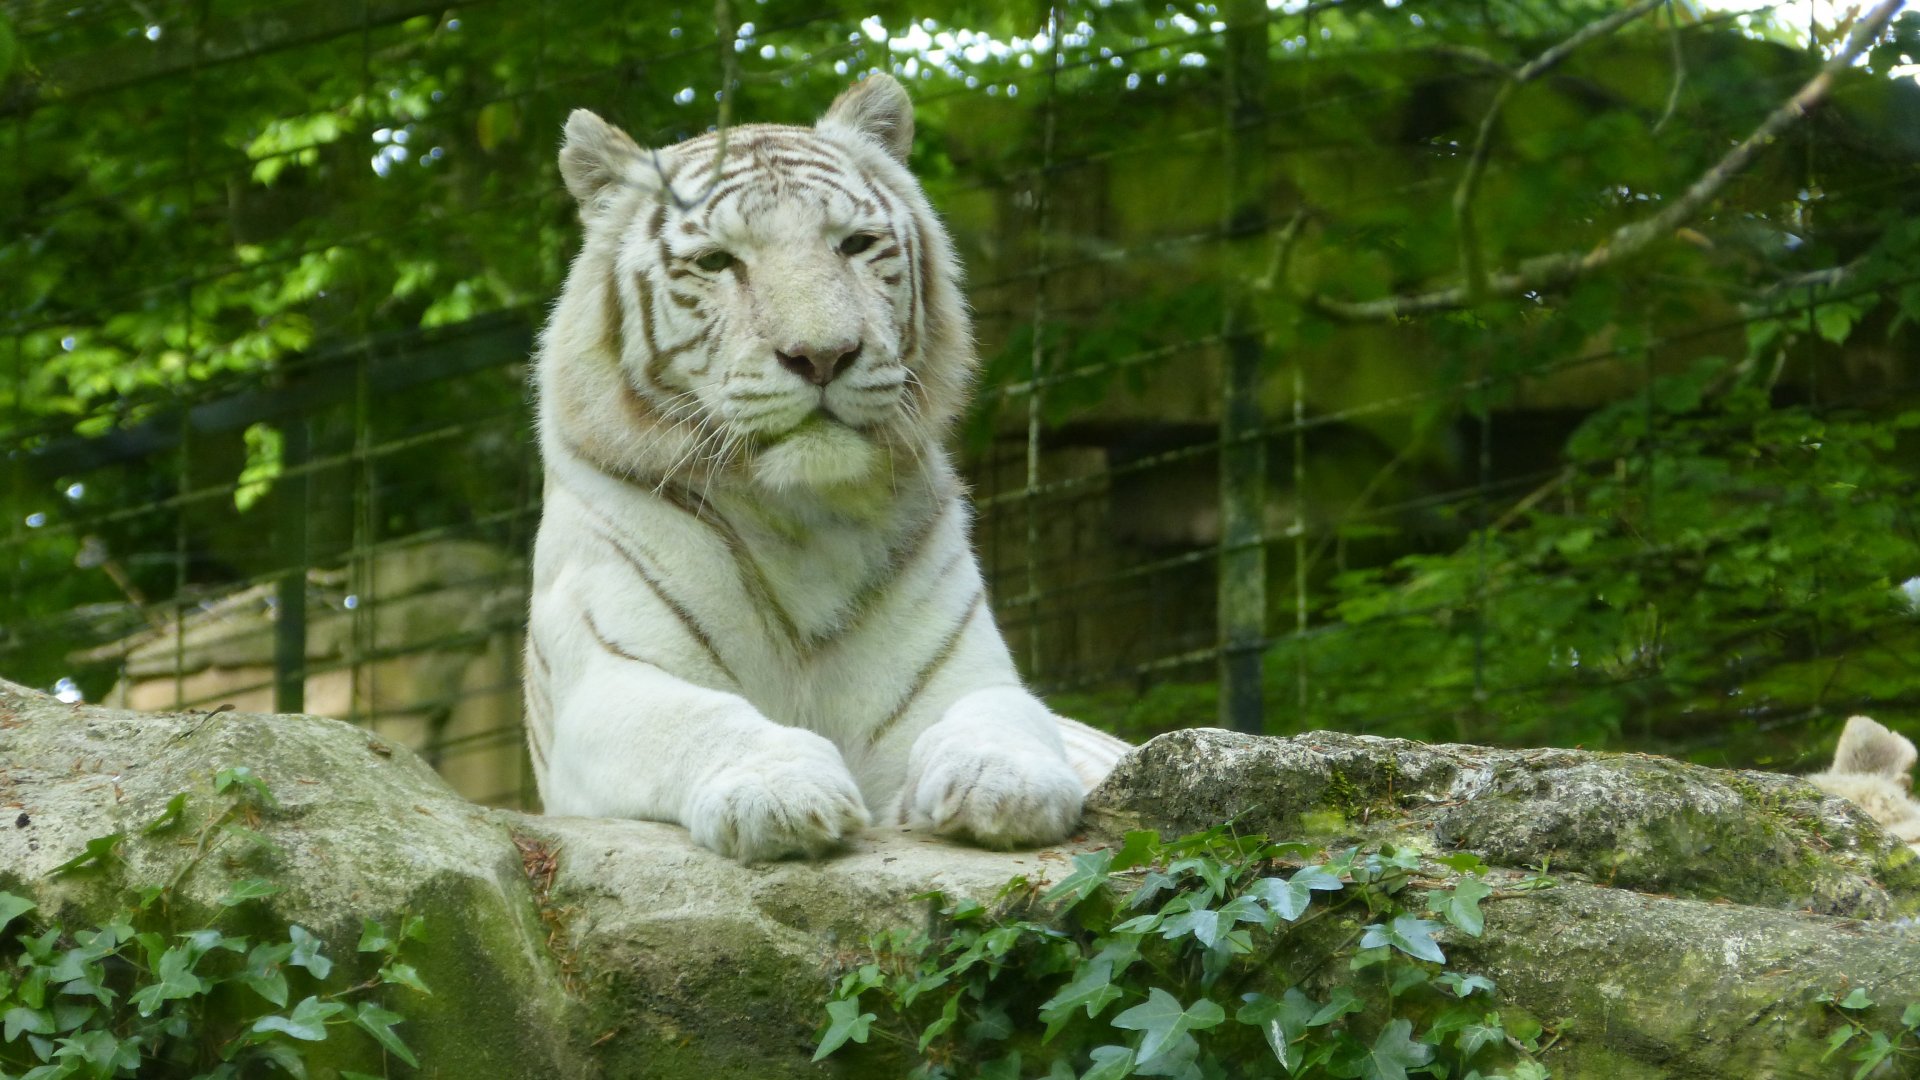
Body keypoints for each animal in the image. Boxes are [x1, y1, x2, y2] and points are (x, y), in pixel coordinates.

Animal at [518, 75, 1128, 857]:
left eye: (855, 245)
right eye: (717, 261)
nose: (823, 355)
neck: (801, 520)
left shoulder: (962, 674)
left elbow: (1002, 713)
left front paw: (1004, 781)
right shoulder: (607, 676)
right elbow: (697, 719)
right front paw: (779, 793)